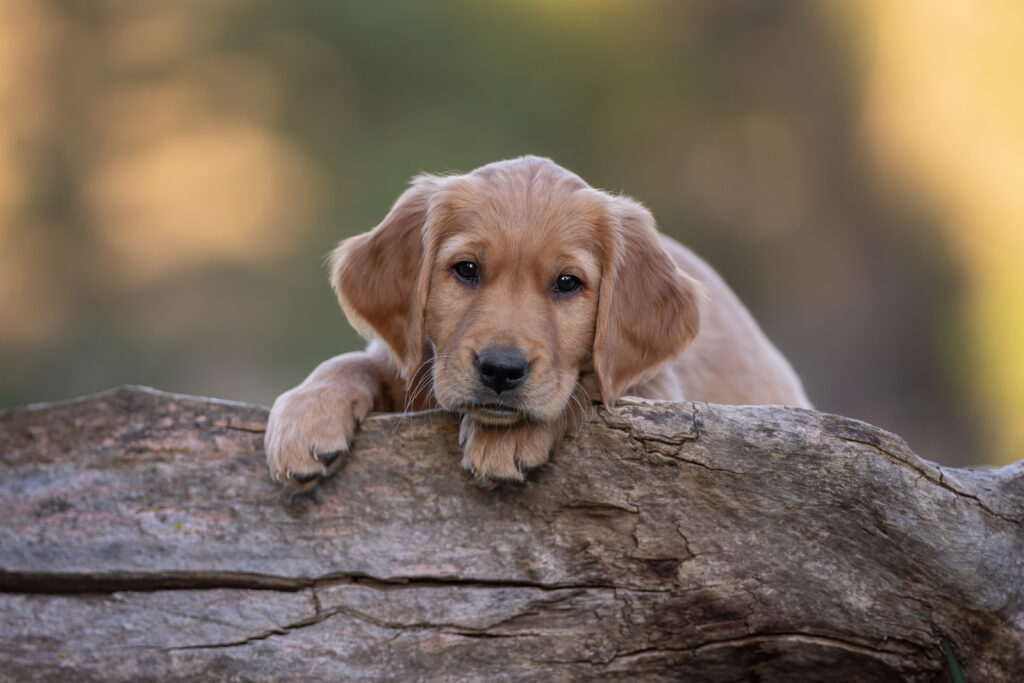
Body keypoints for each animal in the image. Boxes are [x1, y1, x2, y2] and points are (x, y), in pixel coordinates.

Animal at [268, 157, 811, 489]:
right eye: (466, 269)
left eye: (567, 283)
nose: (500, 370)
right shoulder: (411, 361)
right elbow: (350, 362)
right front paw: (303, 416)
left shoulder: (656, 391)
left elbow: (585, 390)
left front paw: (508, 437)